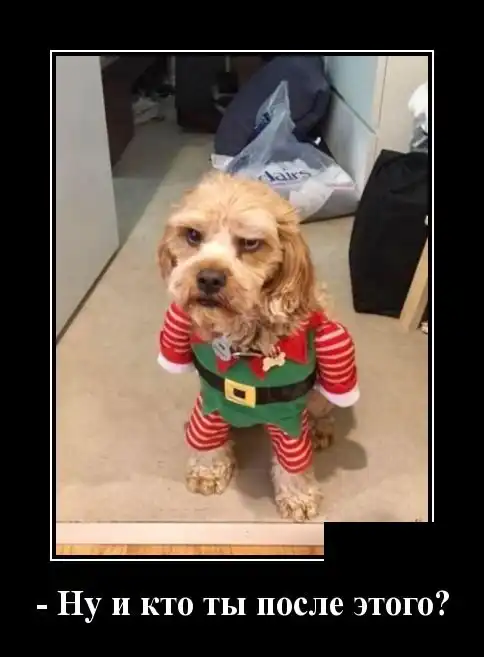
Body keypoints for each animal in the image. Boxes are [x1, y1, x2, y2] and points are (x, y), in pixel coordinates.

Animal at [156, 171, 359, 521]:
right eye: (193, 235)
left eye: (251, 243)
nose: (209, 278)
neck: (242, 344)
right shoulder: (210, 402)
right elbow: (206, 439)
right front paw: (208, 470)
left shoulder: (289, 419)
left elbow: (294, 463)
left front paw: (298, 496)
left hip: (321, 394)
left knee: (324, 410)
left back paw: (320, 429)